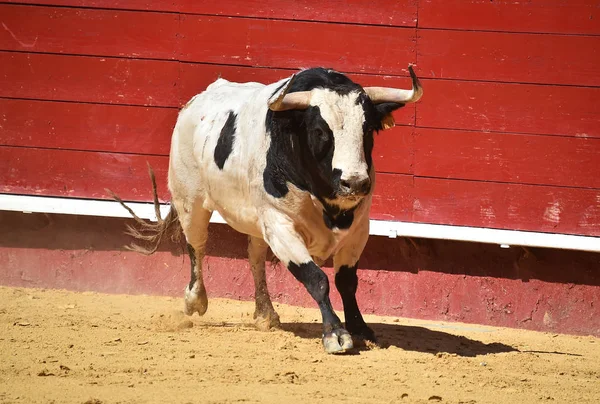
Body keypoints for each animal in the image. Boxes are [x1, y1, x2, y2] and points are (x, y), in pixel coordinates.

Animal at [116, 64, 422, 352]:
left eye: (367, 129)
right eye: (320, 131)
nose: (355, 182)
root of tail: (194, 104)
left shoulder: (359, 228)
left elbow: (346, 281)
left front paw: (360, 329)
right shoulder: (280, 226)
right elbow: (317, 278)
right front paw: (335, 333)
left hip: (254, 220)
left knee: (255, 257)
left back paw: (265, 313)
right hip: (190, 201)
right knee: (197, 247)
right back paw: (195, 300)